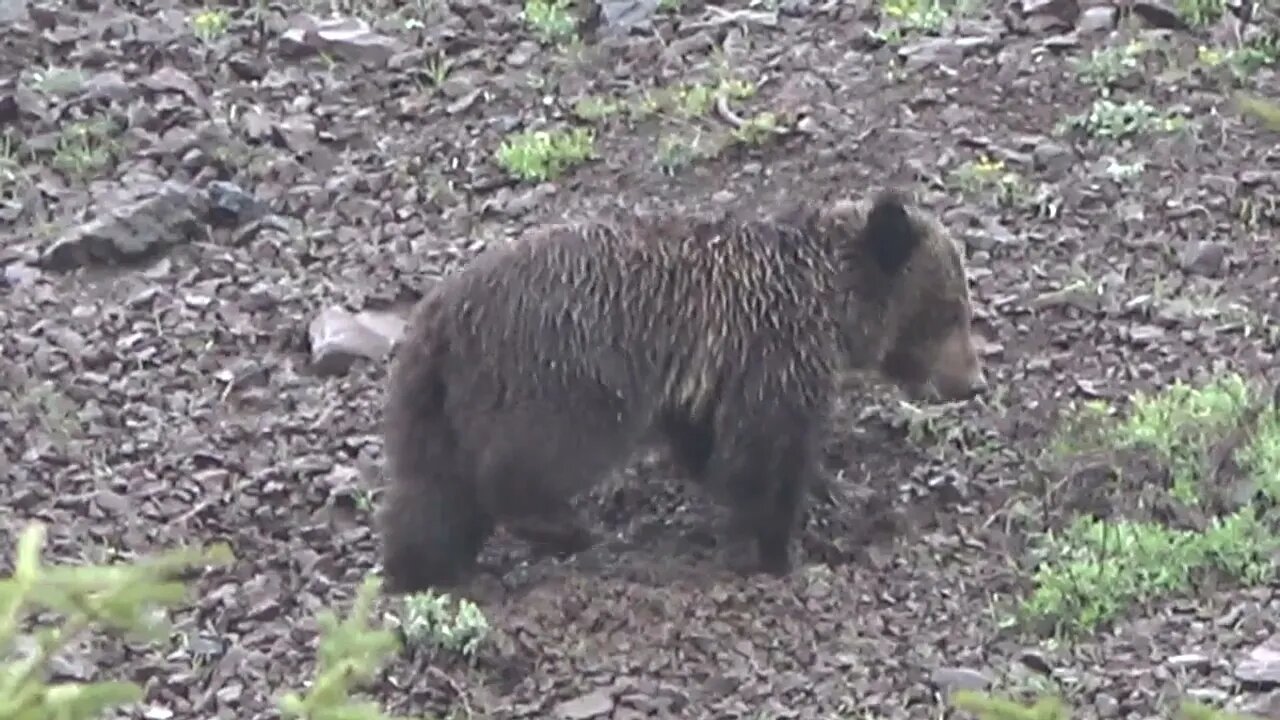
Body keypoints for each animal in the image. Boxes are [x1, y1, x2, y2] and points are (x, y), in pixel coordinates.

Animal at [373, 188, 983, 591]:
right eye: (952, 311)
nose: (973, 382)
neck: (830, 300)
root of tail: (442, 316)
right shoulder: (774, 350)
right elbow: (767, 454)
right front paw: (777, 550)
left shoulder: (706, 376)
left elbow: (707, 442)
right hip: (565, 374)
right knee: (529, 460)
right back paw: (560, 526)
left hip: (432, 402)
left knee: (429, 492)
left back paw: (425, 569)